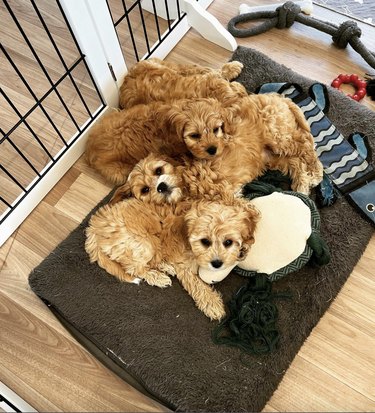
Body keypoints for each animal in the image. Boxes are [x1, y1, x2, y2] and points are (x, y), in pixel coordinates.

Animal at [86, 154, 260, 318]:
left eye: (158, 171)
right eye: (145, 189)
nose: (161, 186)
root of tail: (93, 230)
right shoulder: (181, 259)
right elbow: (194, 282)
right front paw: (212, 304)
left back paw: (165, 266)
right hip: (140, 243)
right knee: (135, 268)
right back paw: (158, 277)